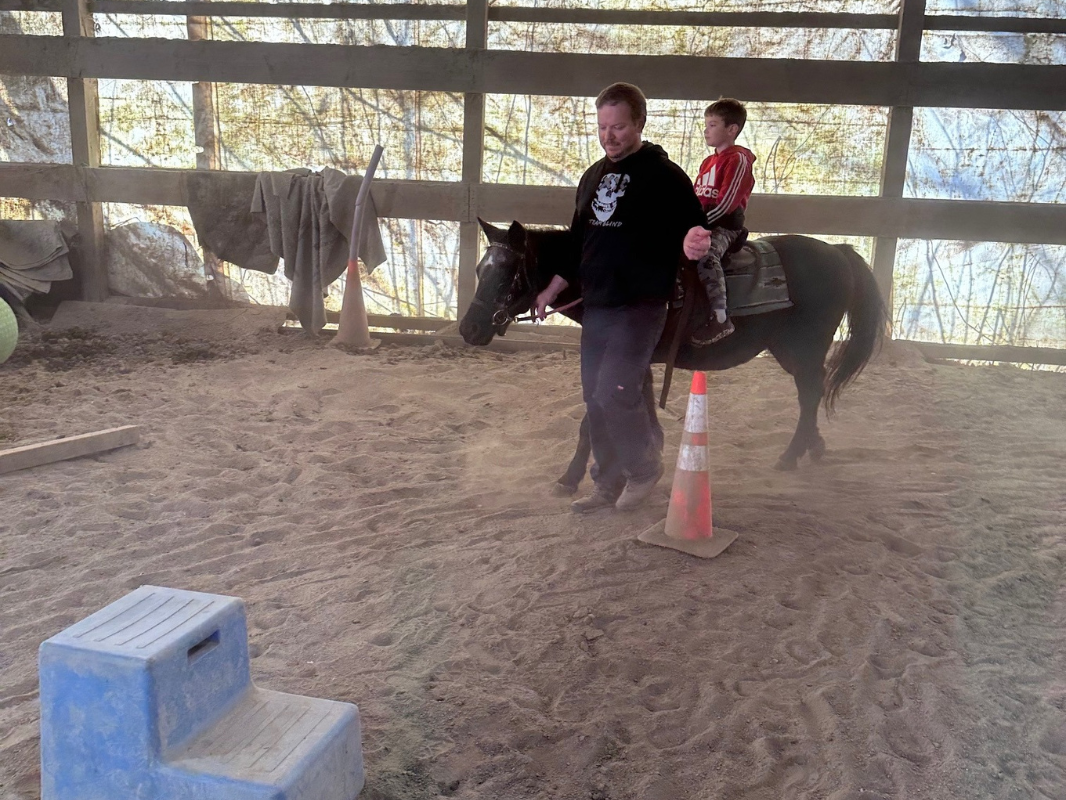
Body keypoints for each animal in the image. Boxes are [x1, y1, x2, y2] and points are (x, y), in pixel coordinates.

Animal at [458, 220, 882, 494]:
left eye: (508, 273)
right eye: (480, 270)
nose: (469, 329)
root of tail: (838, 252)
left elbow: (591, 420)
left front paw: (570, 479)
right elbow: (639, 405)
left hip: (805, 346)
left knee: (810, 393)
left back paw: (792, 455)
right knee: (813, 392)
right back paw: (813, 447)